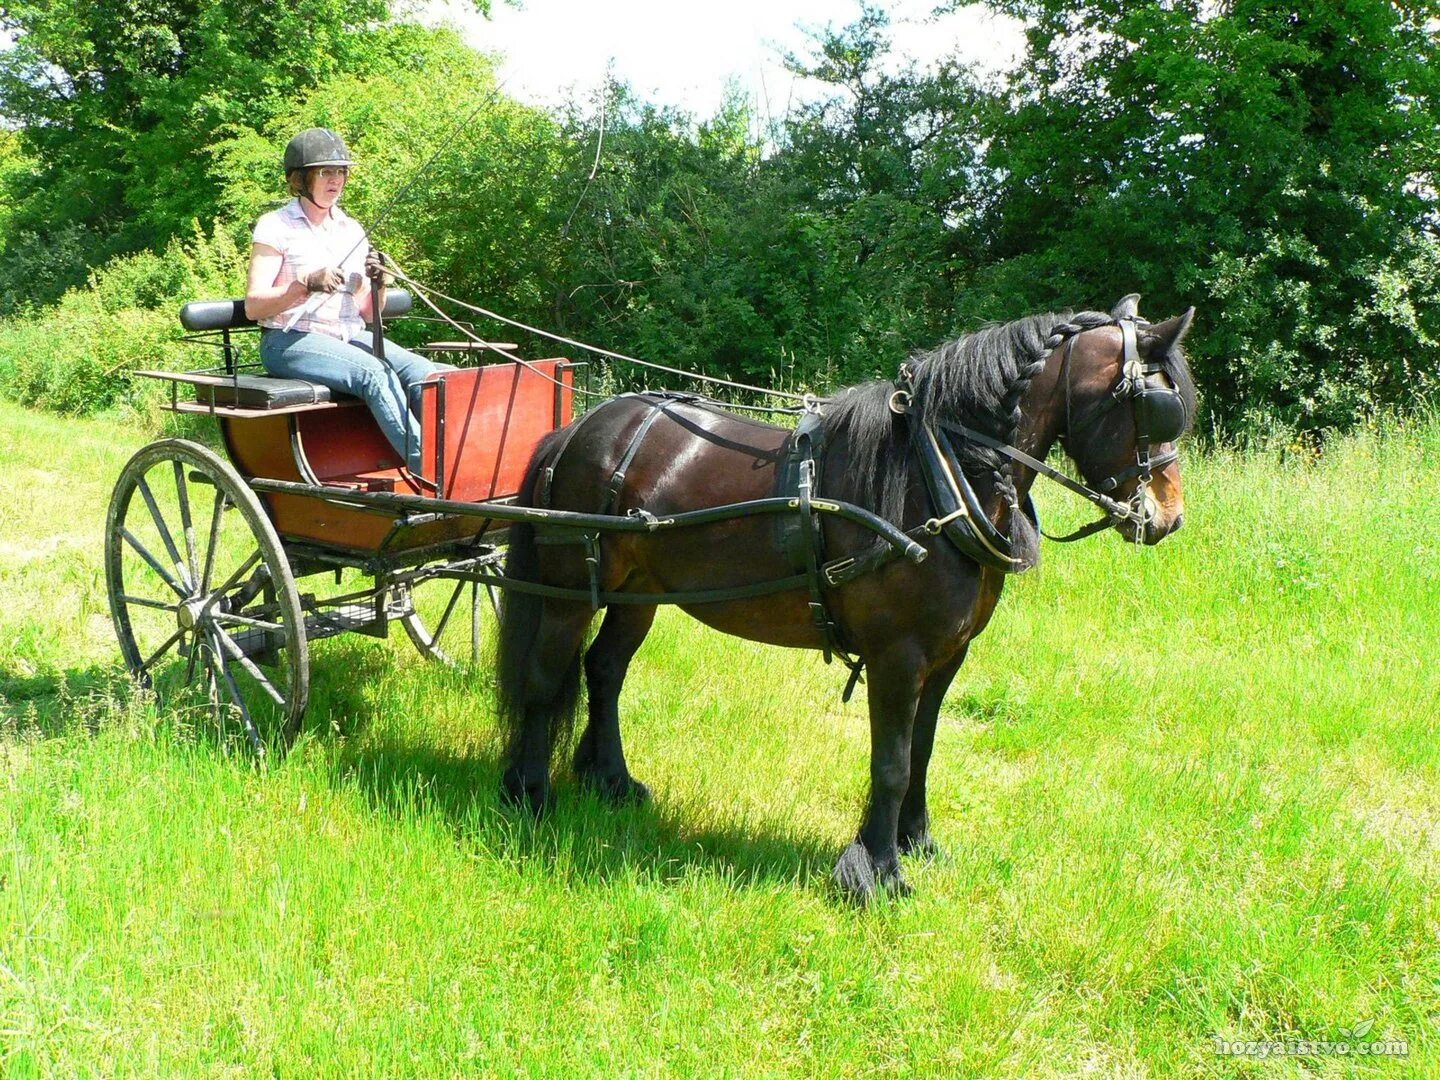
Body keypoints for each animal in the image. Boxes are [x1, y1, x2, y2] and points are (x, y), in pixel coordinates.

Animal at [492, 296, 1192, 904]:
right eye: (1154, 406)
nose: (1167, 518)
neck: (940, 473)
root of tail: (578, 430)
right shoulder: (897, 656)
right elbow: (892, 763)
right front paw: (877, 871)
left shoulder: (948, 656)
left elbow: (923, 749)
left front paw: (916, 843)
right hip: (567, 594)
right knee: (545, 679)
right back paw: (529, 793)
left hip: (638, 593)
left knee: (604, 670)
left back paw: (610, 779)